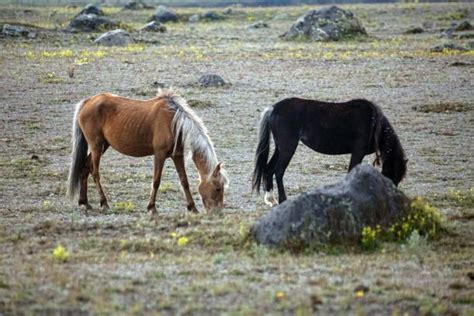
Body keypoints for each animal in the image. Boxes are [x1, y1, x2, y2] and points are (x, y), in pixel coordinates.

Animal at [67, 88, 229, 215]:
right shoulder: (160, 155)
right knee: (95, 172)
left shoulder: (177, 155)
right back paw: (104, 203)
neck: (174, 122)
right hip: (96, 146)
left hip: (103, 146)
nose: (217, 213)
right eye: (218, 188)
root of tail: (87, 102)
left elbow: (184, 181)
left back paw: (84, 202)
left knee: (85, 167)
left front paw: (192, 208)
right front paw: (152, 208)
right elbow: (156, 181)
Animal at [252, 97, 408, 205]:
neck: (373, 123)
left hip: (280, 148)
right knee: (278, 171)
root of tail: (273, 109)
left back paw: (270, 199)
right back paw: (283, 200)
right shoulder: (358, 152)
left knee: (269, 169)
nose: (392, 197)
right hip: (287, 148)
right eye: (394, 174)